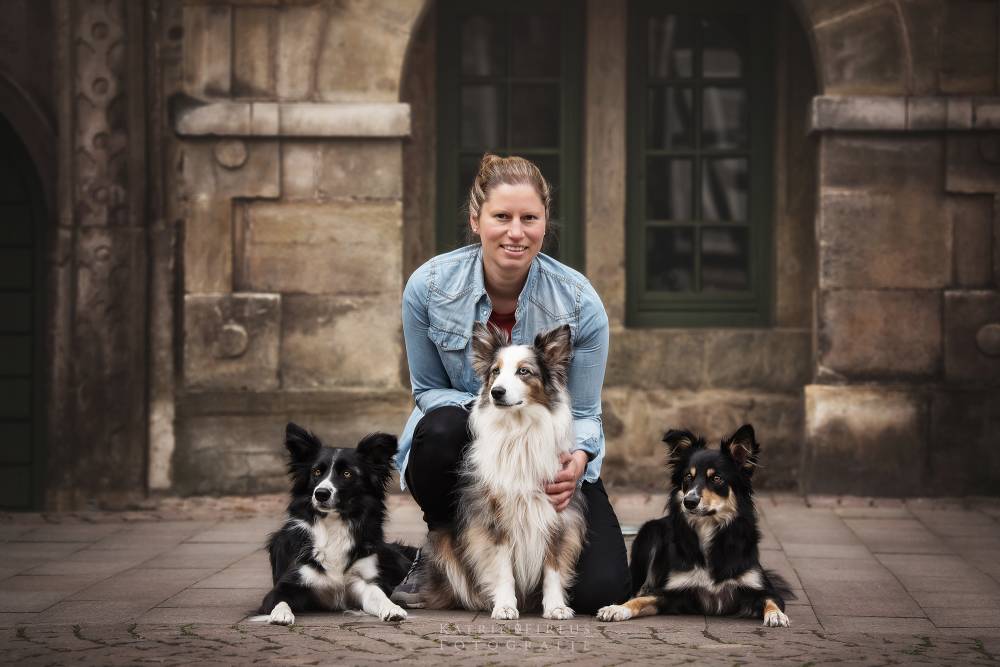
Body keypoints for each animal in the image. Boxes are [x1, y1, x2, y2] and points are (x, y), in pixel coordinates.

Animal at [257, 423, 417, 624]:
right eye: (316, 472)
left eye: (347, 474)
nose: (321, 494)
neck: (333, 526)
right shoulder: (288, 582)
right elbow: (279, 599)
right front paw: (281, 614)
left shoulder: (360, 582)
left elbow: (377, 593)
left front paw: (392, 608)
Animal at [420, 323, 587, 620]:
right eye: (495, 371)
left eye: (524, 371)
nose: (496, 392)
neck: (519, 431)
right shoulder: (494, 518)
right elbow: (502, 568)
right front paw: (505, 606)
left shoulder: (557, 515)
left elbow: (553, 567)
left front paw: (556, 606)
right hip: (443, 542)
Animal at [597, 425, 792, 627]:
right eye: (688, 477)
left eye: (716, 478)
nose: (689, 502)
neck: (708, 528)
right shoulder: (672, 591)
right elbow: (641, 600)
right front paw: (617, 608)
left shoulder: (761, 588)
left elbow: (771, 600)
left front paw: (776, 615)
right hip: (650, 532)